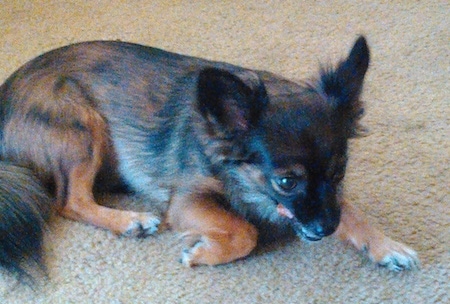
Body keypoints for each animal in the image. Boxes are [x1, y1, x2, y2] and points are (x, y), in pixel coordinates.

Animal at [0, 35, 418, 280]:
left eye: (339, 172)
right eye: (286, 181)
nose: (326, 230)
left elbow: (352, 210)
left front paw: (386, 245)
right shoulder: (188, 200)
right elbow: (246, 231)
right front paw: (204, 253)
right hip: (83, 126)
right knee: (69, 201)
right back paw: (130, 220)